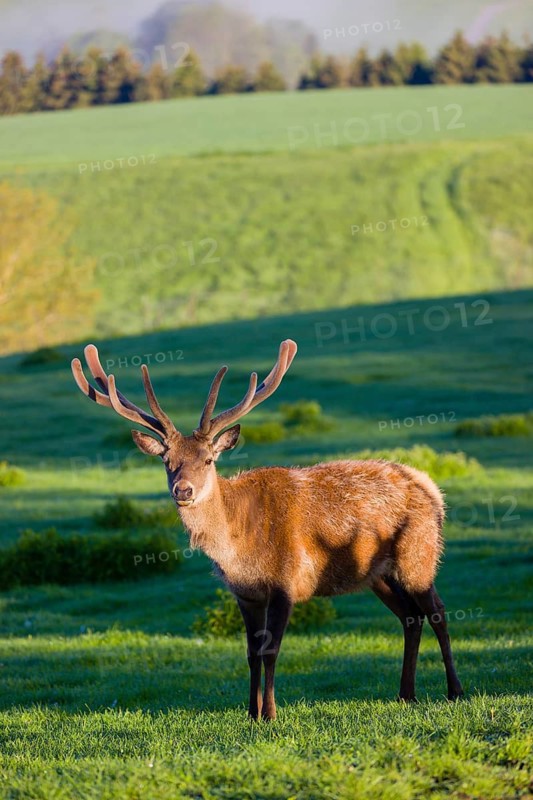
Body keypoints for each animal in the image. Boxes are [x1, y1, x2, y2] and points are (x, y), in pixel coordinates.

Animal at [71, 339, 463, 720]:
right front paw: (251, 713)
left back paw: (454, 691)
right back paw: (406, 695)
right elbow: (251, 653)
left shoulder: (285, 582)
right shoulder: (245, 594)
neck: (239, 548)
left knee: (437, 611)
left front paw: (271, 714)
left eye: (208, 460)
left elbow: (271, 650)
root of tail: (431, 489)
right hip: (378, 574)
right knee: (410, 617)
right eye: (167, 461)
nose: (183, 491)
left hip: (418, 555)